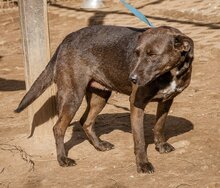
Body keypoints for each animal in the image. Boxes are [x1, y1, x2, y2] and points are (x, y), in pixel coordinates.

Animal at [15, 25, 193, 173]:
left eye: (153, 55)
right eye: (137, 54)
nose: (132, 78)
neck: (170, 73)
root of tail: (66, 40)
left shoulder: (166, 101)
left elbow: (159, 126)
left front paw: (161, 145)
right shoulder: (137, 103)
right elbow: (140, 140)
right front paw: (143, 164)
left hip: (100, 96)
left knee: (85, 121)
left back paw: (99, 145)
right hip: (72, 96)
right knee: (58, 128)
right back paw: (63, 159)